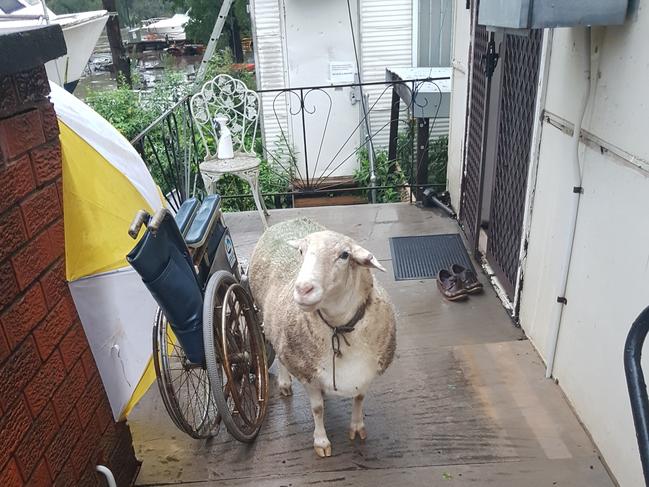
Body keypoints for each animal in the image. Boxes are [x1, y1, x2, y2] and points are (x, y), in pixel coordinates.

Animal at [248, 217, 394, 458]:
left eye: (344, 255)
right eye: (301, 251)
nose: (302, 289)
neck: (339, 328)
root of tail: (284, 221)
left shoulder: (366, 373)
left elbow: (359, 399)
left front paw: (357, 427)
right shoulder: (307, 372)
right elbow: (317, 409)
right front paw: (321, 441)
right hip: (267, 318)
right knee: (278, 352)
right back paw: (285, 383)